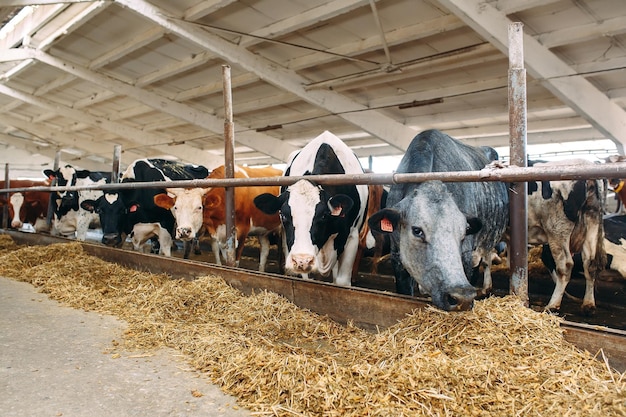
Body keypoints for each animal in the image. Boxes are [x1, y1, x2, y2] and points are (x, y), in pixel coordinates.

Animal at [78, 158, 207, 256]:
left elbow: (164, 254)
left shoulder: (166, 226)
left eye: (123, 210)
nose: (110, 238)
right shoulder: (125, 230)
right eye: (99, 210)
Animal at [152, 164, 282, 272]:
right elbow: (216, 252)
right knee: (265, 250)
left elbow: (235, 260)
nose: (184, 231)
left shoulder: (243, 231)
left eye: (199, 207)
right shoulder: (213, 230)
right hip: (263, 230)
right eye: (175, 207)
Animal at [366, 128, 508, 310]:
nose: (462, 297)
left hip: (489, 240)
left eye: (464, 233)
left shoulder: (467, 253)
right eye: (417, 231)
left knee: (486, 260)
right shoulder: (397, 255)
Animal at [528, 158, 604, 312]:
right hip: (591, 222)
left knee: (565, 265)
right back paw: (588, 304)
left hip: (557, 230)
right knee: (590, 264)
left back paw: (553, 305)